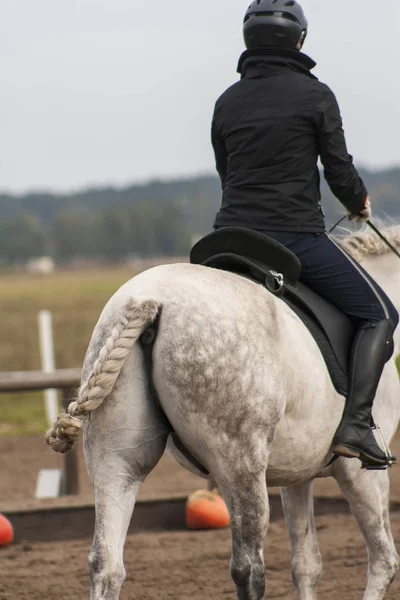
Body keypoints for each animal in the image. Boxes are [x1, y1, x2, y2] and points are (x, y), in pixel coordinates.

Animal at [44, 225, 400, 600]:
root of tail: (151, 299)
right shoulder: (359, 471)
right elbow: (384, 562)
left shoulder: (297, 474)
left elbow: (306, 566)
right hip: (239, 466)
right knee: (248, 568)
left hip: (116, 462)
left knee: (106, 563)